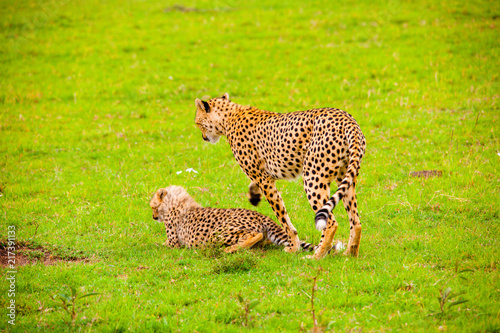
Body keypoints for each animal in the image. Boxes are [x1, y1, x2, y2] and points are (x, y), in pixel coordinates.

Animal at [147, 184, 316, 252]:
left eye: (153, 207)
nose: (154, 217)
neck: (174, 201)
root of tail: (260, 215)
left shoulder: (173, 242)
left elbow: (157, 244)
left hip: (216, 234)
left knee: (255, 235)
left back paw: (230, 249)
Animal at [193, 93, 366, 260]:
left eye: (197, 123)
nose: (203, 137)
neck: (229, 116)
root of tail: (346, 118)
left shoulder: (264, 180)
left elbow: (282, 216)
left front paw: (293, 247)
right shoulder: (264, 175)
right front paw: (253, 195)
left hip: (313, 177)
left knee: (331, 223)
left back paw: (317, 256)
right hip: (346, 177)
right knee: (356, 221)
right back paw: (350, 254)